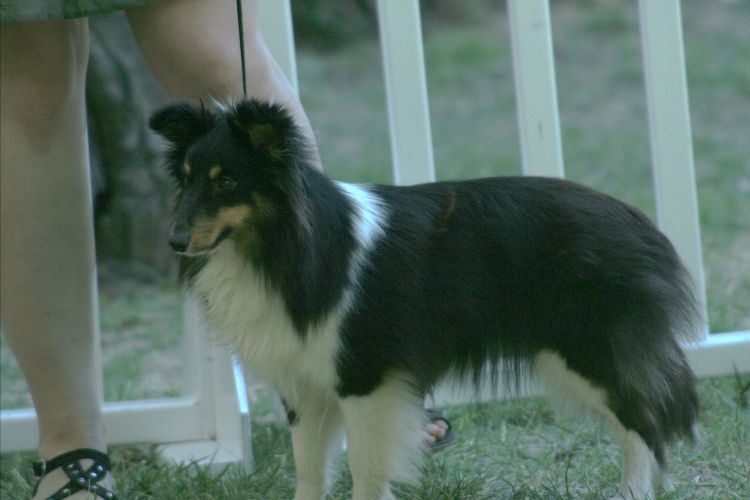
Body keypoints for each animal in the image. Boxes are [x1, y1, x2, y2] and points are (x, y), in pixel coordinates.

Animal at [150, 98, 704, 500]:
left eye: (226, 180)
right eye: (187, 177)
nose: (174, 241)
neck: (285, 246)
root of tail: (641, 223)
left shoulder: (364, 378)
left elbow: (365, 469)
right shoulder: (304, 385)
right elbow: (309, 470)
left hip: (588, 351)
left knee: (644, 425)